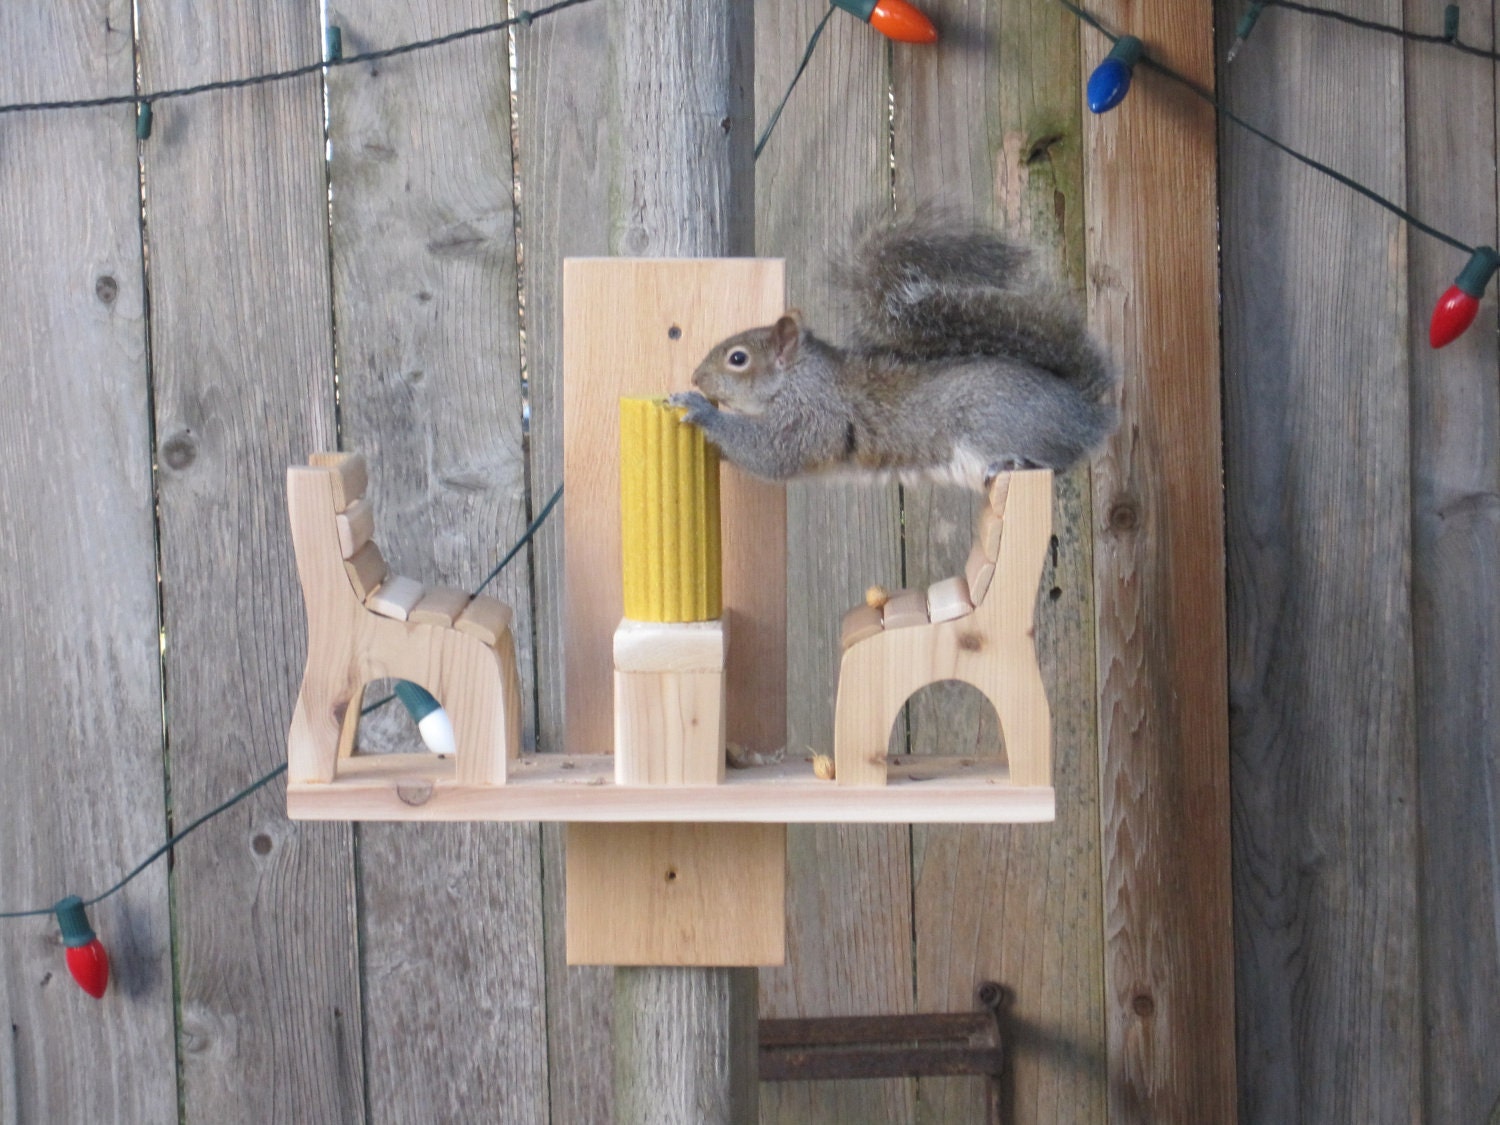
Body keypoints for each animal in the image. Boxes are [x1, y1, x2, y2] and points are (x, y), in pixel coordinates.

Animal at [675, 216, 1122, 489]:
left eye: (738, 358)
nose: (696, 376)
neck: (800, 376)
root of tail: (1085, 410)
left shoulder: (813, 416)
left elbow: (770, 454)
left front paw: (702, 410)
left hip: (998, 424)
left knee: (1055, 461)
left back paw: (1014, 462)